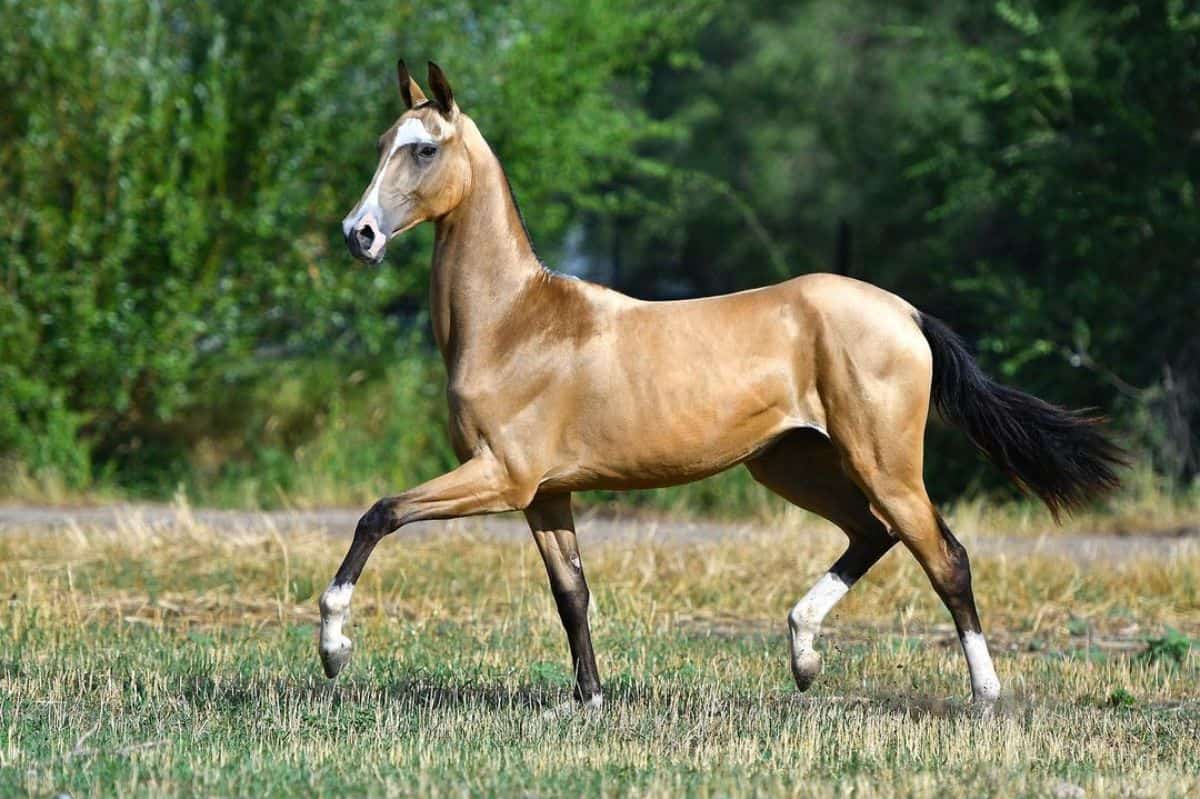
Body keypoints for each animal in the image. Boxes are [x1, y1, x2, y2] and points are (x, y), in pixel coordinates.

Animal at [321, 65, 1123, 705]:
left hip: (882, 463)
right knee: (875, 533)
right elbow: (572, 594)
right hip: (792, 463)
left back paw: (984, 693)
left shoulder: (501, 477)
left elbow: (379, 514)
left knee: (943, 556)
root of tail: (905, 312)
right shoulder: (546, 494)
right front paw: (588, 700)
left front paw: (332, 648)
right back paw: (803, 656)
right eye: (383, 142)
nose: (359, 233)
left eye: (424, 148)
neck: (514, 323)